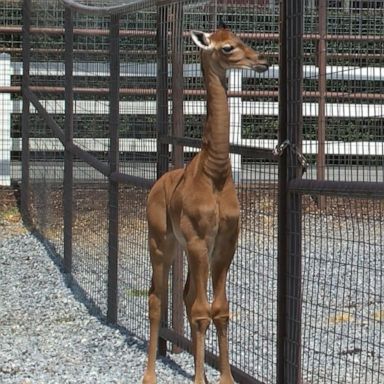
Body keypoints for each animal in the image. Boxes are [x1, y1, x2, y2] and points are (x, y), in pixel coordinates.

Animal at [142, 25, 268, 382]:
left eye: (241, 40)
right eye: (227, 48)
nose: (262, 60)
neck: (216, 173)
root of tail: (156, 187)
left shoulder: (225, 241)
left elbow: (220, 310)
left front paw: (224, 378)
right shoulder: (199, 240)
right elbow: (202, 311)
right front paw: (201, 379)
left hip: (183, 248)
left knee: (184, 295)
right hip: (161, 242)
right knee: (157, 298)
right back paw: (148, 375)